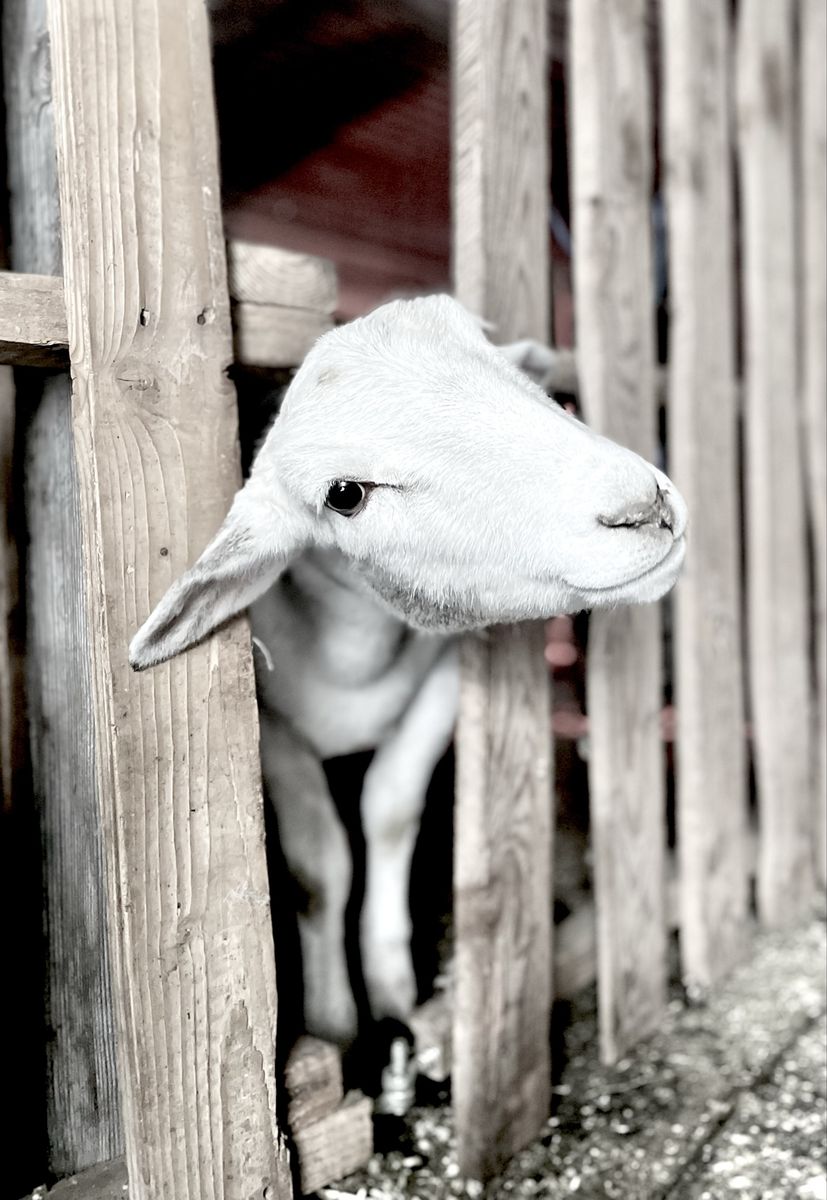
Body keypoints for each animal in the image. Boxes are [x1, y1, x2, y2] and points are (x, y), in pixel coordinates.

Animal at [130, 293, 687, 1049]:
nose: (642, 507)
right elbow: (317, 867)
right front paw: (335, 1021)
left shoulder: (441, 683)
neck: (355, 658)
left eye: (492, 355)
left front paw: (392, 990)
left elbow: (391, 814)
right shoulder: (273, 730)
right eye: (345, 495)